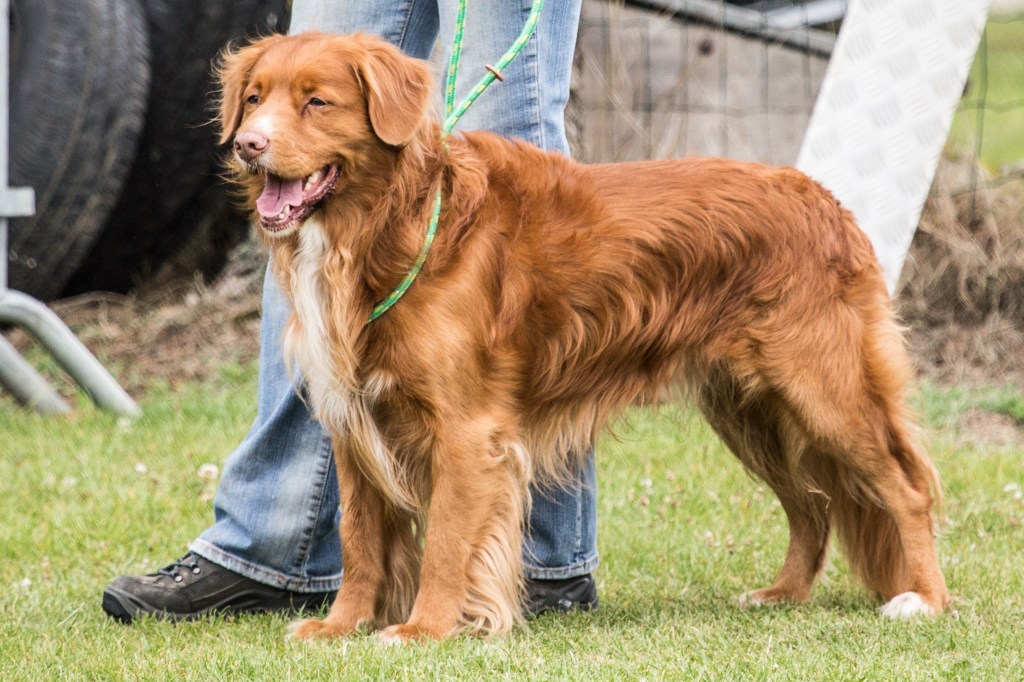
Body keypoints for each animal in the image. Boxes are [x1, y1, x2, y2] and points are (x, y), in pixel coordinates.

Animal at [216, 30, 950, 638]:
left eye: (317, 102)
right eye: (254, 99)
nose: (249, 144)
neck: (395, 224)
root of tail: (828, 201)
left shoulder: (466, 431)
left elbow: (448, 543)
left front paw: (423, 629)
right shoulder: (354, 422)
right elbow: (362, 539)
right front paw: (341, 627)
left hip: (823, 391)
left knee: (904, 487)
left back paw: (925, 599)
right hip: (750, 409)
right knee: (812, 504)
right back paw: (784, 594)